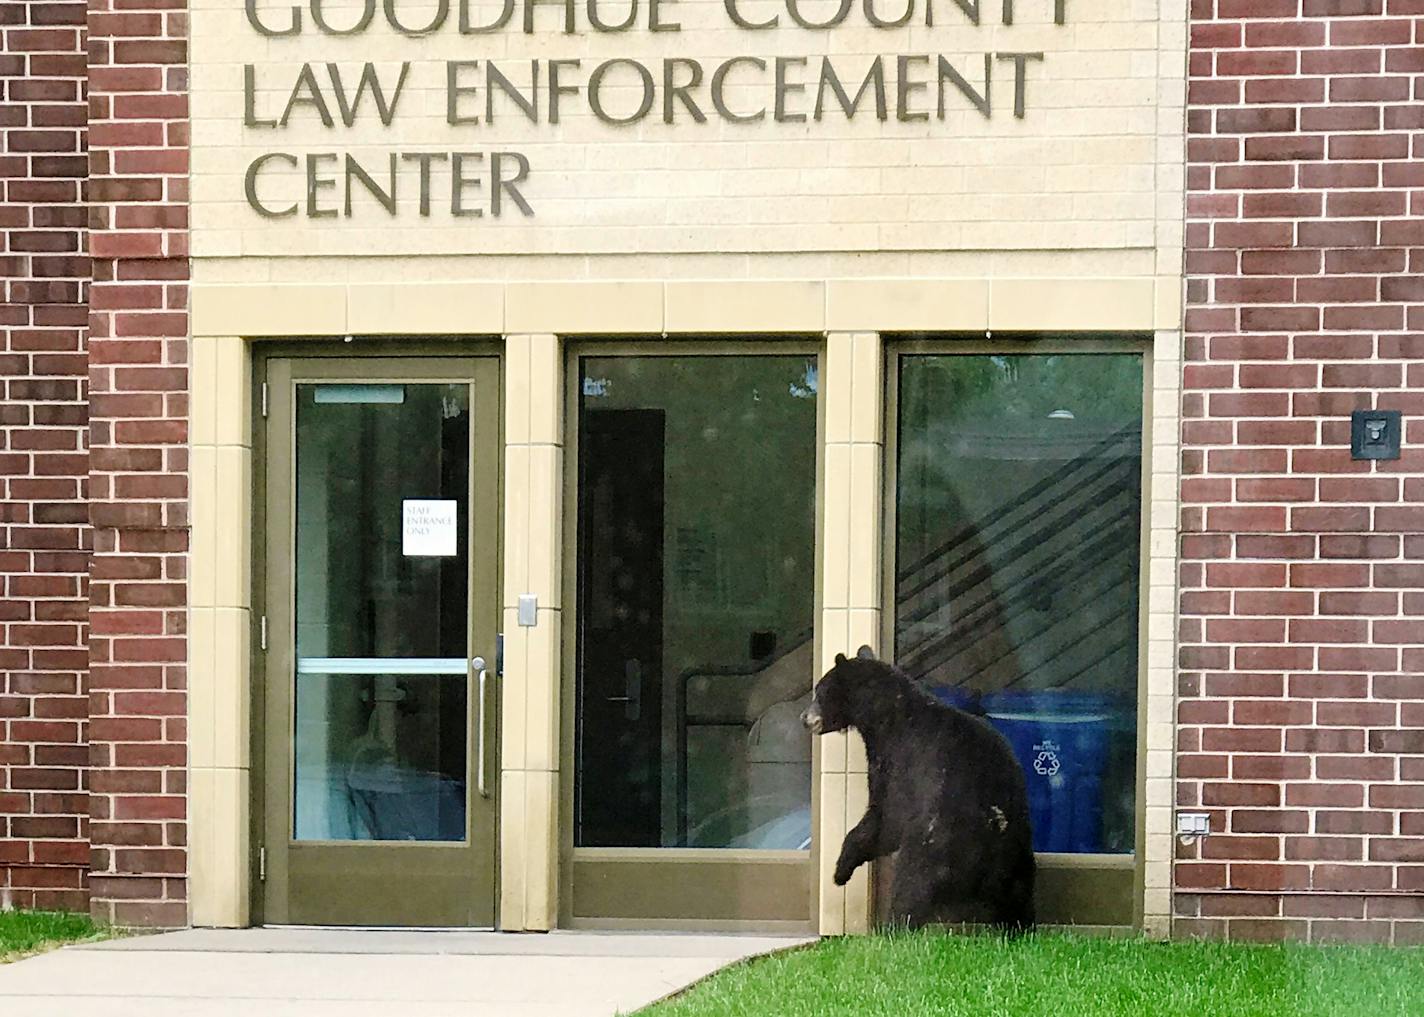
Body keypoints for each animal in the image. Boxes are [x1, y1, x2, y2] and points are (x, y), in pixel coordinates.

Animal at [803, 646, 1036, 928]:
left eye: (820, 690)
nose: (805, 718)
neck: (886, 717)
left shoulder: (898, 762)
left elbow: (885, 819)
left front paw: (840, 871)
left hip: (934, 843)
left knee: (912, 885)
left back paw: (894, 926)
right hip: (1018, 850)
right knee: (1020, 895)